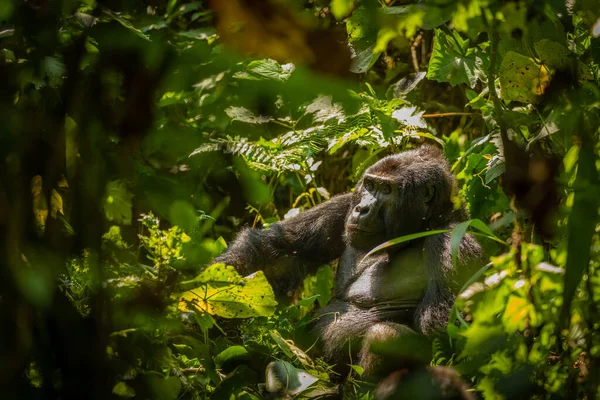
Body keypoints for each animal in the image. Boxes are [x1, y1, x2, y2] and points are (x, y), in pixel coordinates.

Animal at [213, 145, 480, 378]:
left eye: (387, 190)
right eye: (370, 185)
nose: (362, 209)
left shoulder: (452, 243)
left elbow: (443, 338)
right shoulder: (343, 205)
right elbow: (276, 253)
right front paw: (211, 305)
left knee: (386, 335)